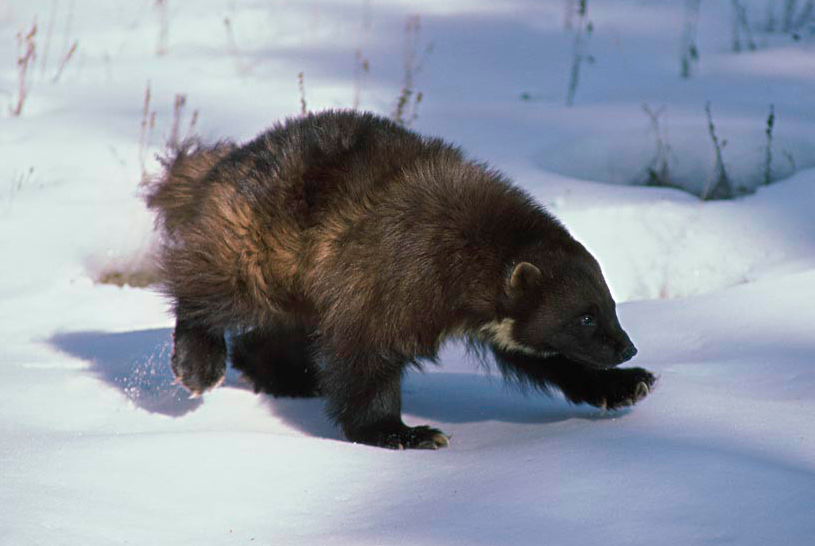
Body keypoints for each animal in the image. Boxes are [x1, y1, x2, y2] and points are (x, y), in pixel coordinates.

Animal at [144, 110, 655, 450]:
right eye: (585, 316)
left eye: (610, 304)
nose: (627, 348)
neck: (463, 248)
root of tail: (220, 164)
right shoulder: (384, 281)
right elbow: (364, 362)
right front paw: (402, 432)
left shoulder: (501, 321)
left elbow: (546, 357)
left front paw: (624, 385)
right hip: (256, 249)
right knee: (203, 290)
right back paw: (198, 365)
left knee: (270, 335)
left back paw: (288, 376)